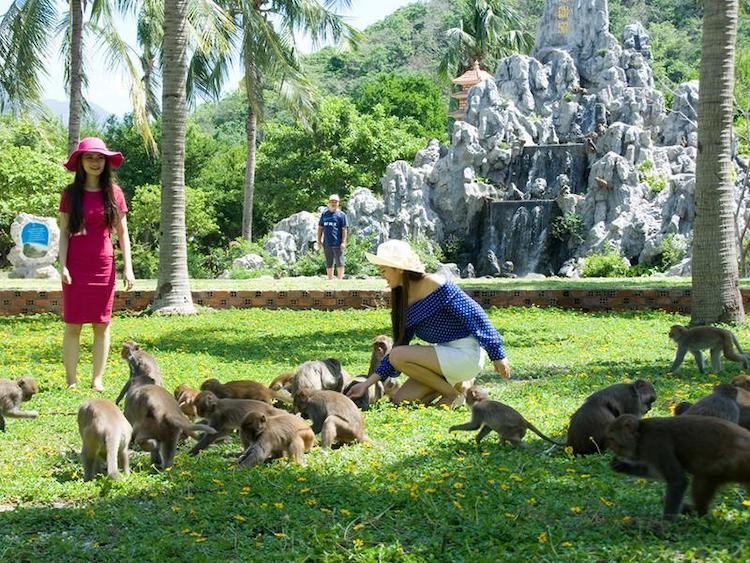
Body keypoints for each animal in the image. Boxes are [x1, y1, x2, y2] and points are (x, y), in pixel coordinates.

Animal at [608, 414, 750, 520]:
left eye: (613, 440)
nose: (612, 449)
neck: (641, 435)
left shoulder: (655, 444)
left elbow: (678, 480)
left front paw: (665, 523)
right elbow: (653, 471)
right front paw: (622, 466)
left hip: (734, 463)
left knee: (703, 475)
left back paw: (698, 512)